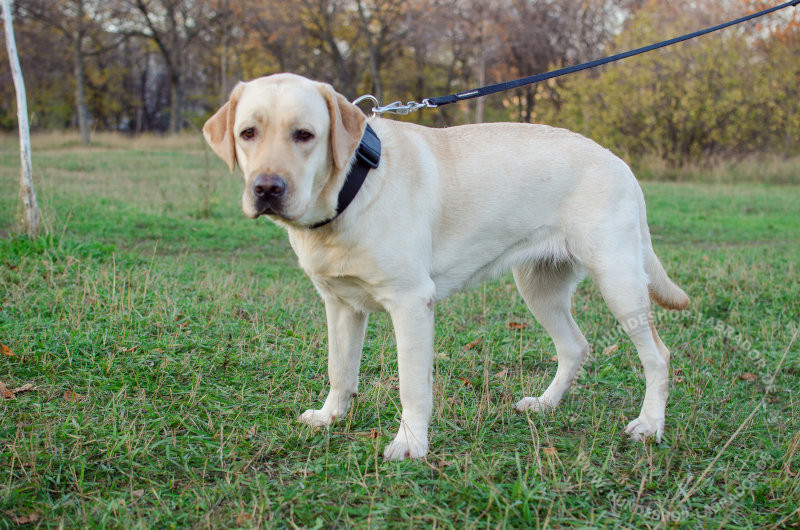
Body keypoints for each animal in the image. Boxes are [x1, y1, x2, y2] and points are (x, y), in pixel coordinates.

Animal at [202, 73, 688, 458]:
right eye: (248, 133)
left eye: (304, 135)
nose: (267, 188)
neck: (352, 191)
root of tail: (620, 162)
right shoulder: (340, 305)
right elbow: (340, 370)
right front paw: (330, 417)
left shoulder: (411, 303)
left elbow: (412, 386)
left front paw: (411, 444)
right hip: (539, 288)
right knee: (575, 346)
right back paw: (546, 405)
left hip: (619, 281)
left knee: (658, 356)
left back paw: (649, 426)